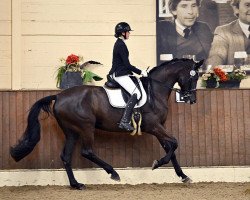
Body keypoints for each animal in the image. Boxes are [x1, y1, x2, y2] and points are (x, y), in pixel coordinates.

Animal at [10, 57, 204, 189]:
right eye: (193, 77)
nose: (192, 99)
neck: (154, 91)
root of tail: (58, 96)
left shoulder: (159, 127)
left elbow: (170, 148)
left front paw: (183, 176)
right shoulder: (153, 126)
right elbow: (174, 143)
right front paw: (157, 164)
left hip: (71, 131)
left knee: (66, 156)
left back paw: (76, 184)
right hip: (86, 127)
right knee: (87, 151)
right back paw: (113, 173)